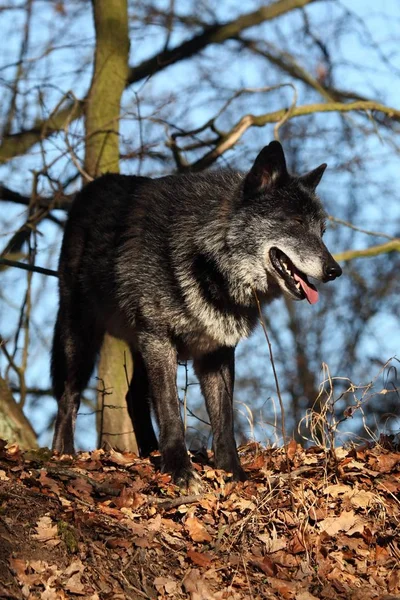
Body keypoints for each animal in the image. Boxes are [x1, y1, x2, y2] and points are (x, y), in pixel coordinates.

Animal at [51, 141, 342, 488]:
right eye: (296, 222)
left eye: (322, 231)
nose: (335, 271)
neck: (207, 260)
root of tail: (90, 189)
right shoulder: (159, 341)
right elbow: (170, 412)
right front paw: (179, 470)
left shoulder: (217, 351)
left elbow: (224, 421)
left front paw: (232, 474)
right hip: (81, 338)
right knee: (68, 395)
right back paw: (63, 455)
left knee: (132, 398)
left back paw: (150, 453)